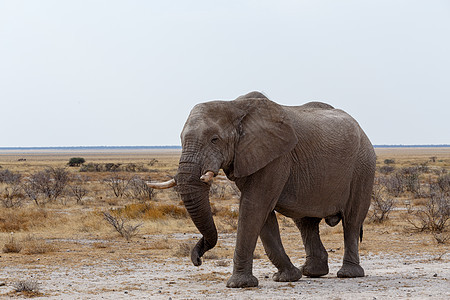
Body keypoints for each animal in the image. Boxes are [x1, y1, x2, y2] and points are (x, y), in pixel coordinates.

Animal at [149, 91, 376, 288]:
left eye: (215, 139)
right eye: (180, 140)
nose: (197, 260)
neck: (234, 105)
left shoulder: (276, 158)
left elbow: (254, 206)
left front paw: (239, 285)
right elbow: (263, 214)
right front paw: (287, 277)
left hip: (363, 166)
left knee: (352, 221)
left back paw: (348, 274)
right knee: (305, 223)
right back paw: (312, 272)